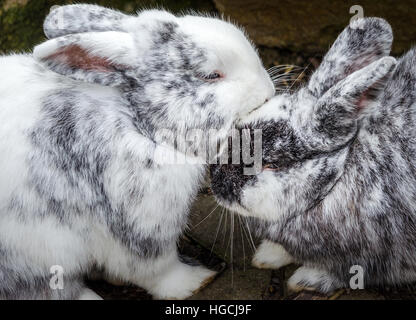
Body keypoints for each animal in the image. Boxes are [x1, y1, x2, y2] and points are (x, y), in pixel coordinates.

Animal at [0, 3, 276, 300]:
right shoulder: (139, 226)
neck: (138, 123)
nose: (269, 91)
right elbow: (156, 269)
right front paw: (196, 280)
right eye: (210, 75)